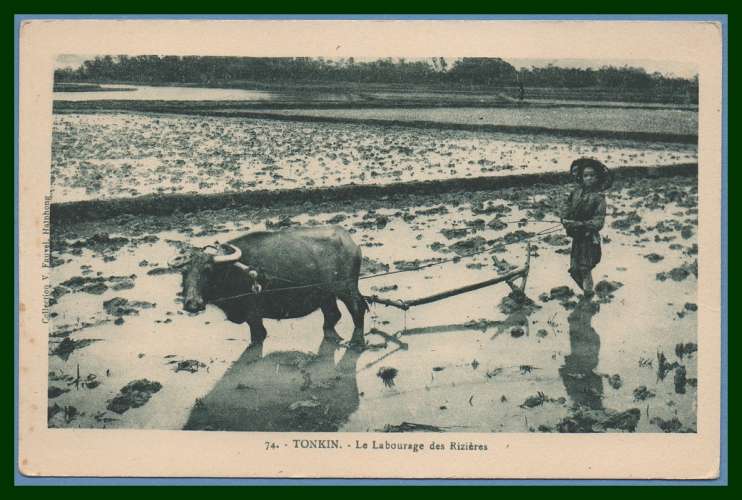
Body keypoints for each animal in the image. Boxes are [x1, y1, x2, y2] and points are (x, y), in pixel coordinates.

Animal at [178, 227, 370, 348]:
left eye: (208, 270)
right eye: (184, 272)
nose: (192, 304)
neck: (232, 271)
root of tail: (351, 243)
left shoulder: (254, 315)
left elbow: (259, 335)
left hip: (346, 288)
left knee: (358, 307)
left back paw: (356, 342)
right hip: (326, 295)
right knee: (333, 315)